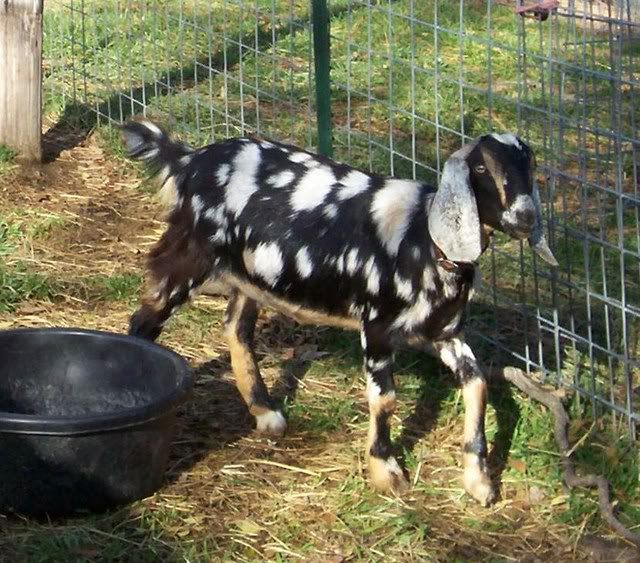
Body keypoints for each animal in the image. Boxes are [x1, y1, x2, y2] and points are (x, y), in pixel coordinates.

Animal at [121, 119, 558, 506]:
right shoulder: (377, 326)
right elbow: (385, 399)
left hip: (252, 275)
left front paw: (479, 481)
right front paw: (386, 471)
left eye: (529, 165)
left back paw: (265, 412)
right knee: (146, 318)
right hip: (190, 257)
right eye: (481, 168)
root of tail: (189, 159)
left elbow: (478, 383)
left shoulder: (446, 333)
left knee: (236, 328)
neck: (424, 239)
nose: (525, 217)